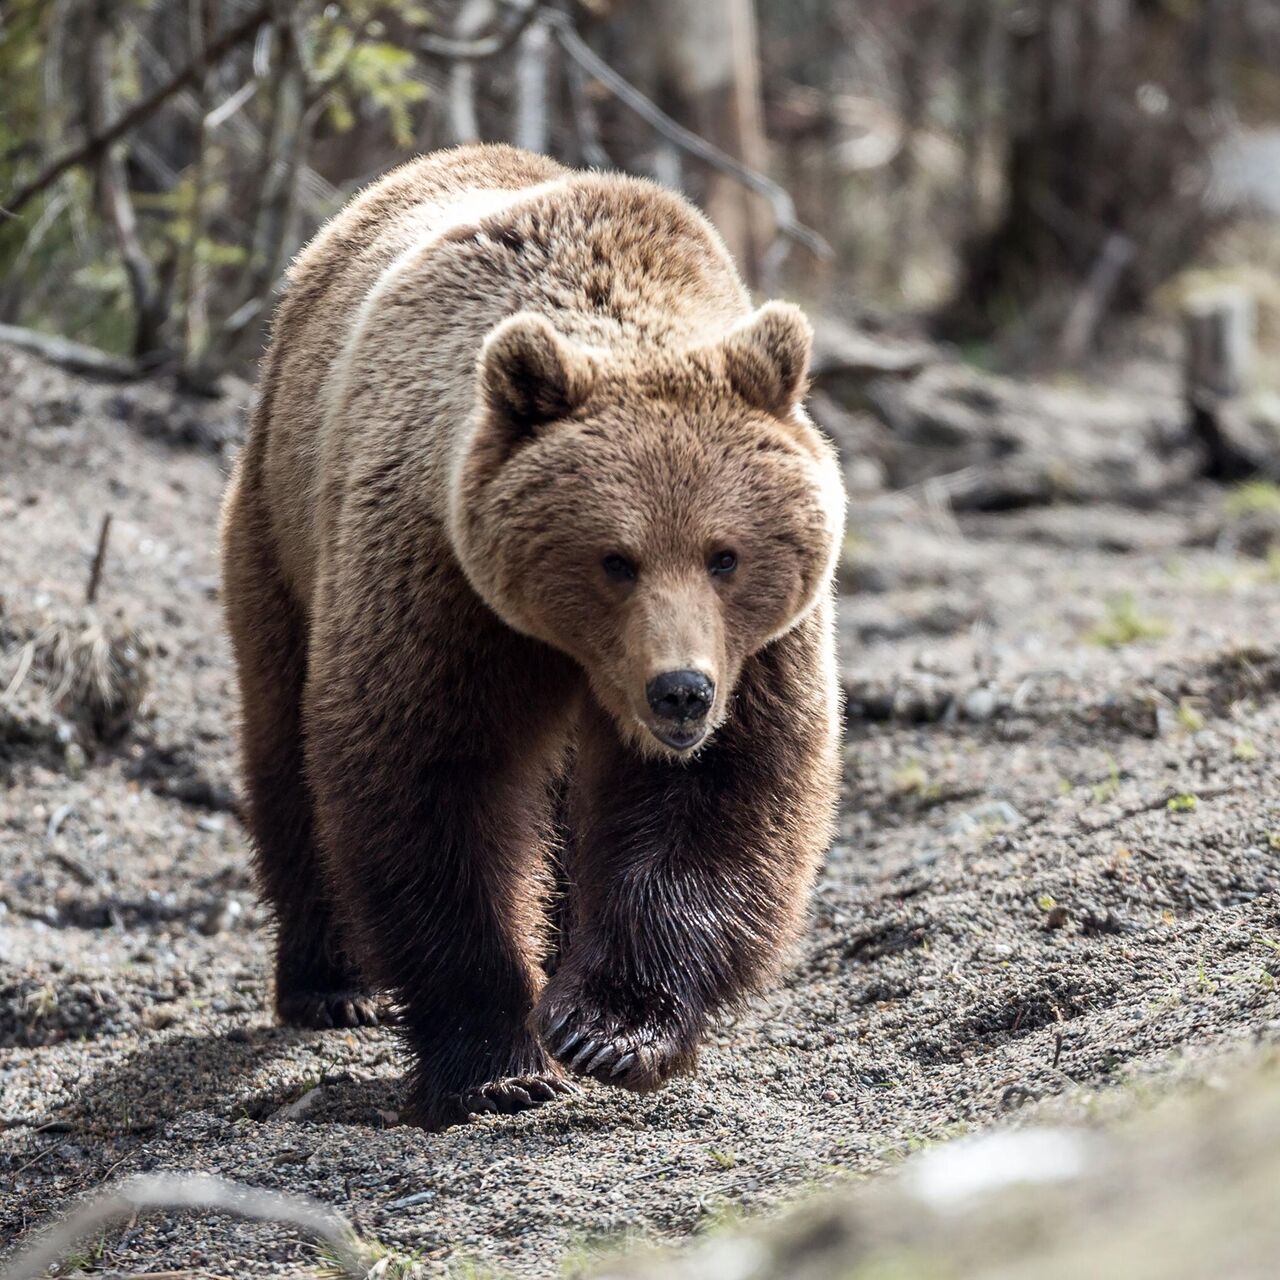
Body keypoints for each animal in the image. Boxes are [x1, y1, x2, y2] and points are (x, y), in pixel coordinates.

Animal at [220, 142, 839, 1131]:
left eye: (725, 555)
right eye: (615, 558)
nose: (680, 693)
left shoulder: (762, 650)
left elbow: (721, 792)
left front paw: (608, 1027)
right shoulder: (440, 588)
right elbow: (432, 785)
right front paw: (496, 1064)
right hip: (281, 532)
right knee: (285, 744)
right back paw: (333, 984)